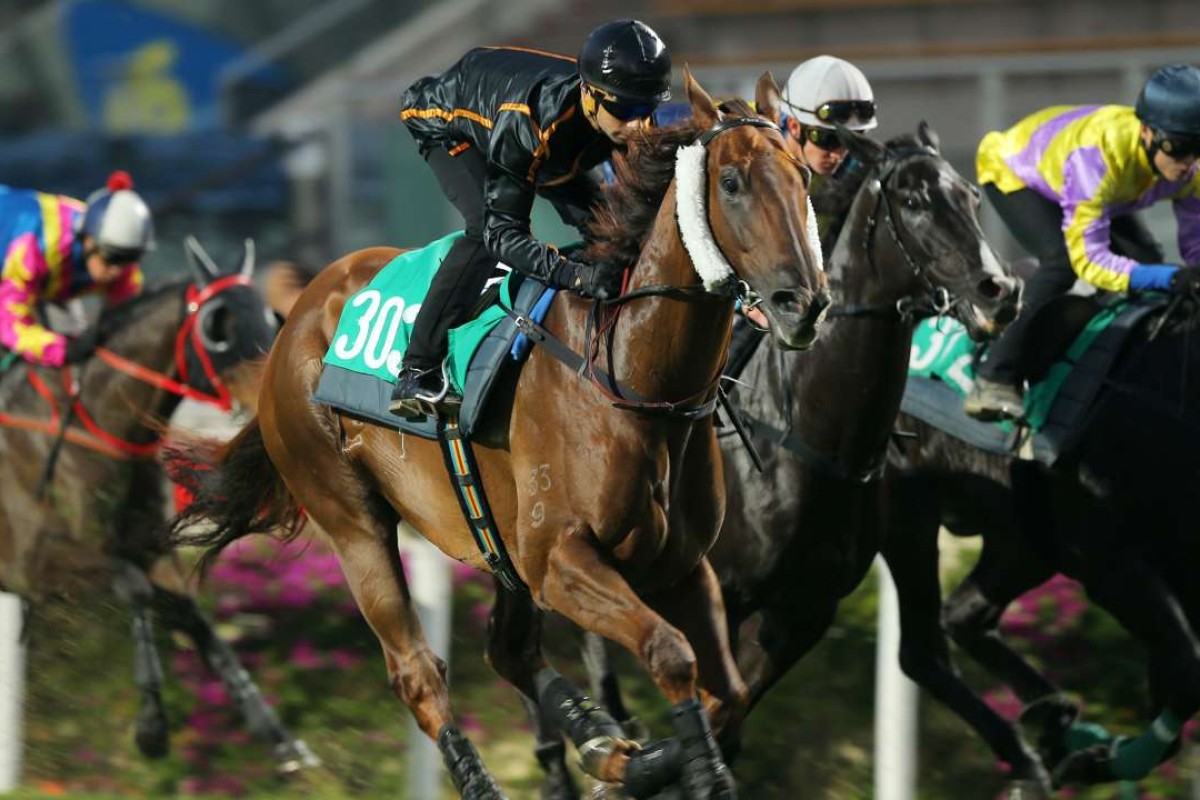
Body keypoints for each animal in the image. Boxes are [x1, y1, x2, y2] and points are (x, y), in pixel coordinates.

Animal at [0, 241, 314, 772]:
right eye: (219, 325)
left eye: (271, 319)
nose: (275, 397)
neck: (95, 429)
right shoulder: (40, 565)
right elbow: (136, 590)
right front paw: (151, 729)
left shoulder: (152, 550)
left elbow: (196, 622)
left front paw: (282, 741)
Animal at [164, 71, 830, 796]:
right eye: (731, 182)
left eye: (802, 177)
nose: (803, 303)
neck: (632, 379)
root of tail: (297, 316)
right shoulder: (560, 561)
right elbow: (671, 655)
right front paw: (676, 767)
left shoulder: (677, 565)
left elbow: (726, 691)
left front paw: (636, 760)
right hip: (352, 518)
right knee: (418, 674)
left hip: (500, 545)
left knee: (507, 651)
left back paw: (602, 742)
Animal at [535, 122, 1022, 796]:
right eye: (915, 201)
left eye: (973, 197)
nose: (999, 291)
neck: (811, 444)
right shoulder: (716, 590)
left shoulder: (797, 617)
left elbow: (728, 713)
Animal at [883, 296, 1200, 796]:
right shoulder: (1108, 564)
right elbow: (1189, 670)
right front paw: (1096, 761)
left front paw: (1091, 757)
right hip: (903, 512)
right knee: (920, 652)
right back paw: (1030, 755)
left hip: (1021, 541)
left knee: (963, 618)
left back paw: (1056, 720)